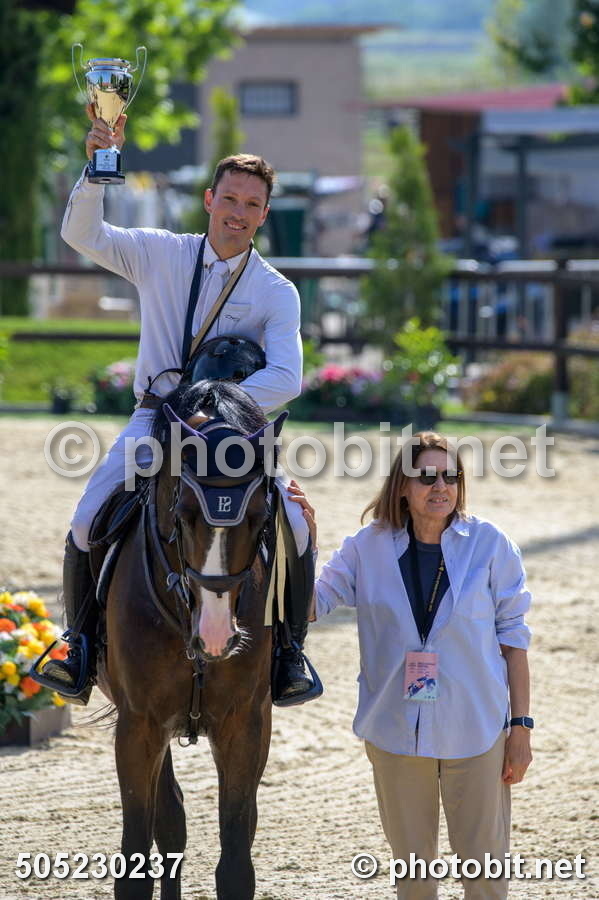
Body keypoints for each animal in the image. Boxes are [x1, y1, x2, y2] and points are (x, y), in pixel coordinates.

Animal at [95, 379, 286, 900]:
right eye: (183, 514)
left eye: (260, 515)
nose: (216, 638)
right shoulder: (139, 724)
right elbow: (137, 858)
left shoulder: (245, 724)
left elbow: (236, 860)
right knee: (171, 822)